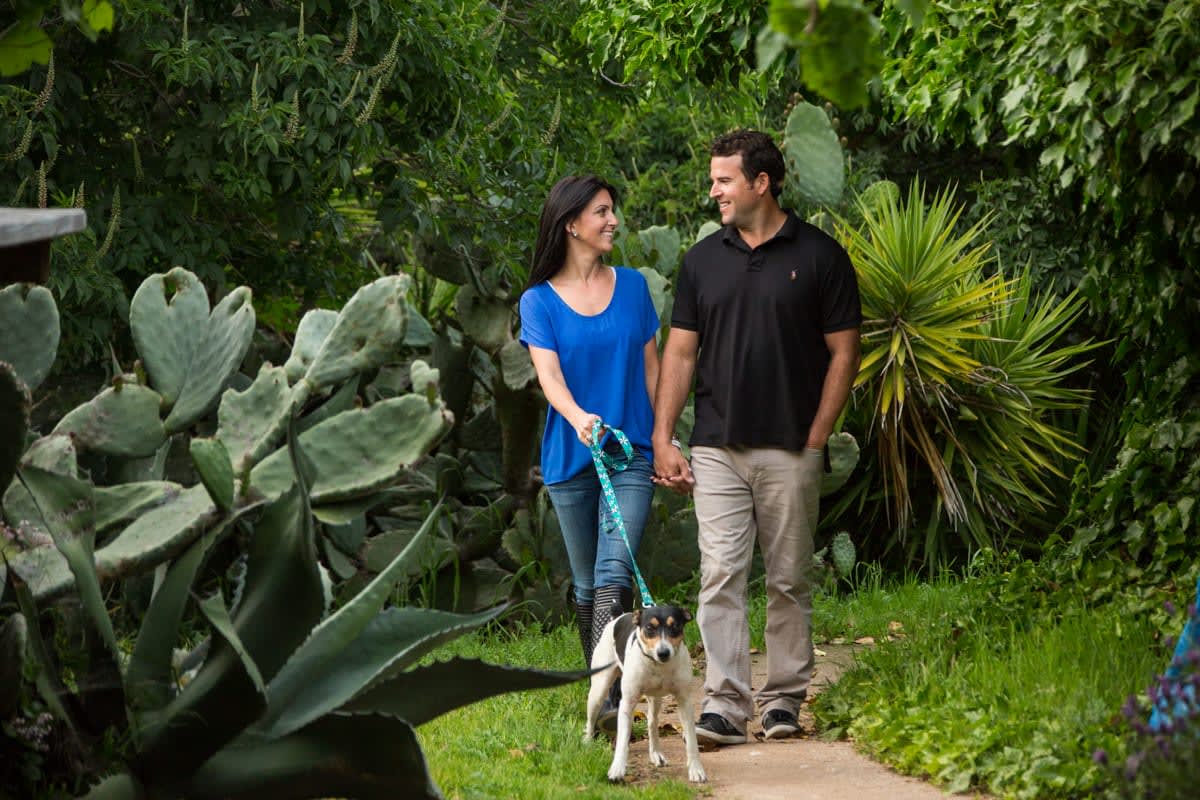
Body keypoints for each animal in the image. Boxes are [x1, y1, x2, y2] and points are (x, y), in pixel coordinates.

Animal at [580, 606, 700, 782]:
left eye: (676, 626)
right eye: (649, 627)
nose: (663, 652)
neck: (657, 665)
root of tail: (618, 616)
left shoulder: (685, 701)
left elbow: (691, 739)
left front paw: (697, 770)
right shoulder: (627, 703)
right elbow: (622, 741)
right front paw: (617, 769)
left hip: (655, 698)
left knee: (652, 723)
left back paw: (656, 754)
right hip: (598, 689)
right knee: (591, 719)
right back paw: (588, 742)